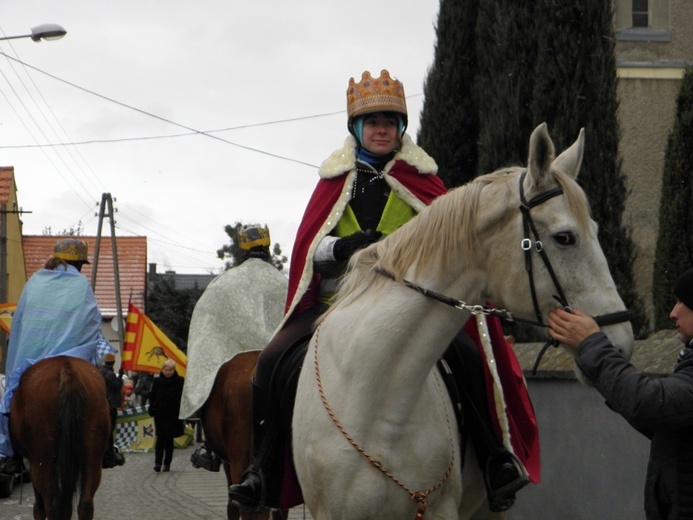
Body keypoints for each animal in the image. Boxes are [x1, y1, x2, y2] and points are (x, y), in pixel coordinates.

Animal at [9, 356, 109, 516]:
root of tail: (67, 371)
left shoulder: (33, 463)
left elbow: (39, 507)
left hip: (43, 461)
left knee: (50, 504)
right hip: (92, 455)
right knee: (85, 503)